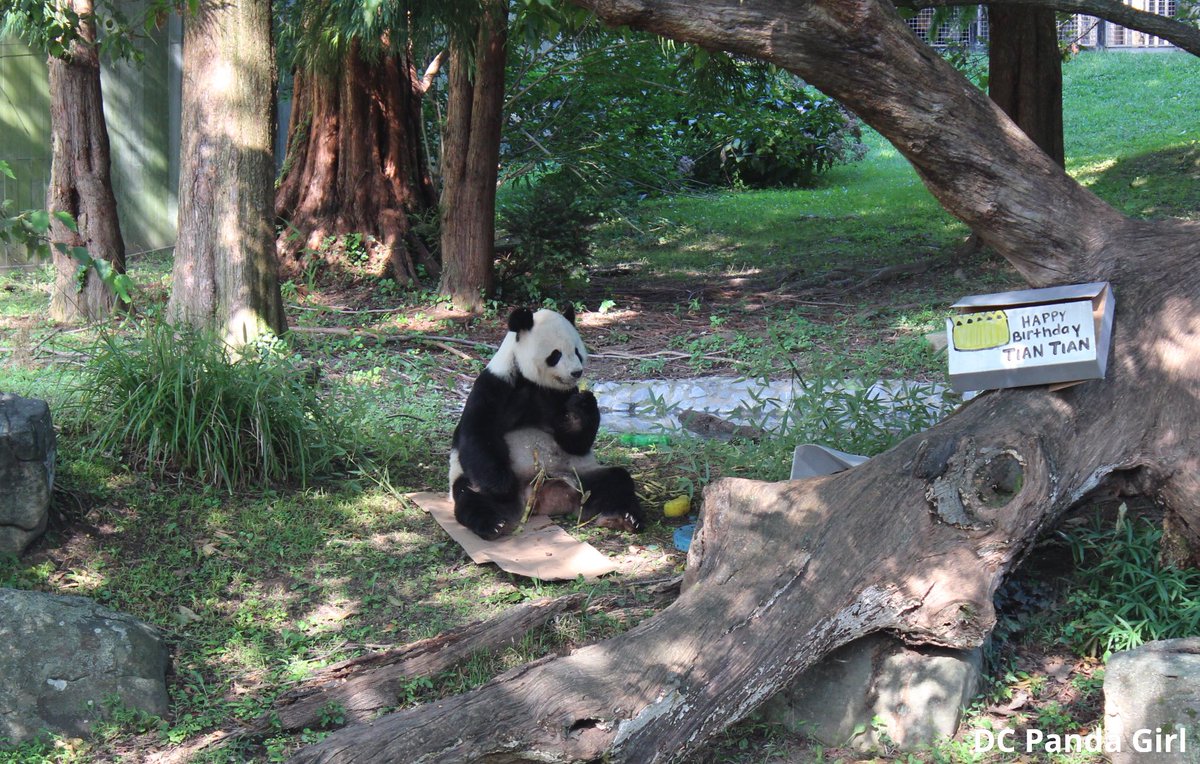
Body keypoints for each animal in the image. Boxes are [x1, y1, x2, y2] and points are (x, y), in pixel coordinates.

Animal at [448, 306, 646, 540]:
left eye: (577, 351)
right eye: (556, 354)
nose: (577, 372)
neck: (531, 382)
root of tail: (544, 497)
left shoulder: (560, 394)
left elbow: (575, 443)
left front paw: (583, 404)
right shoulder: (495, 385)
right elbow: (478, 434)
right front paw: (502, 485)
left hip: (580, 476)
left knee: (616, 480)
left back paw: (623, 518)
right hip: (471, 481)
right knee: (470, 498)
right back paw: (494, 524)